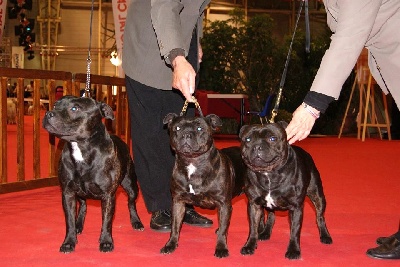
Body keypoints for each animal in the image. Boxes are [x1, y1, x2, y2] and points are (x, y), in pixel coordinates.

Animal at [42, 96, 145, 253]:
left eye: (75, 108)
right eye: (55, 105)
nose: (48, 114)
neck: (81, 147)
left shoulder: (108, 196)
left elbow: (107, 221)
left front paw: (106, 242)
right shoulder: (68, 193)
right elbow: (69, 221)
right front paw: (69, 242)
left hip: (131, 185)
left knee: (131, 203)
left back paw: (136, 222)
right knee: (83, 205)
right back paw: (79, 225)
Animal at [161, 114, 245, 258]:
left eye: (200, 128)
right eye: (177, 128)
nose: (186, 134)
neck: (192, 162)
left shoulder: (223, 204)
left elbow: (223, 229)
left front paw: (221, 248)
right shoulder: (178, 202)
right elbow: (175, 226)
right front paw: (170, 244)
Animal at [238, 123, 332, 260]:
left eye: (272, 138)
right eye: (248, 139)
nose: (257, 147)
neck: (268, 174)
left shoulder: (296, 208)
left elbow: (295, 231)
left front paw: (293, 250)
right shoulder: (254, 205)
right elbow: (253, 228)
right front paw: (249, 245)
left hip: (317, 195)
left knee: (320, 216)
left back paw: (325, 236)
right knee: (271, 216)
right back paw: (265, 233)